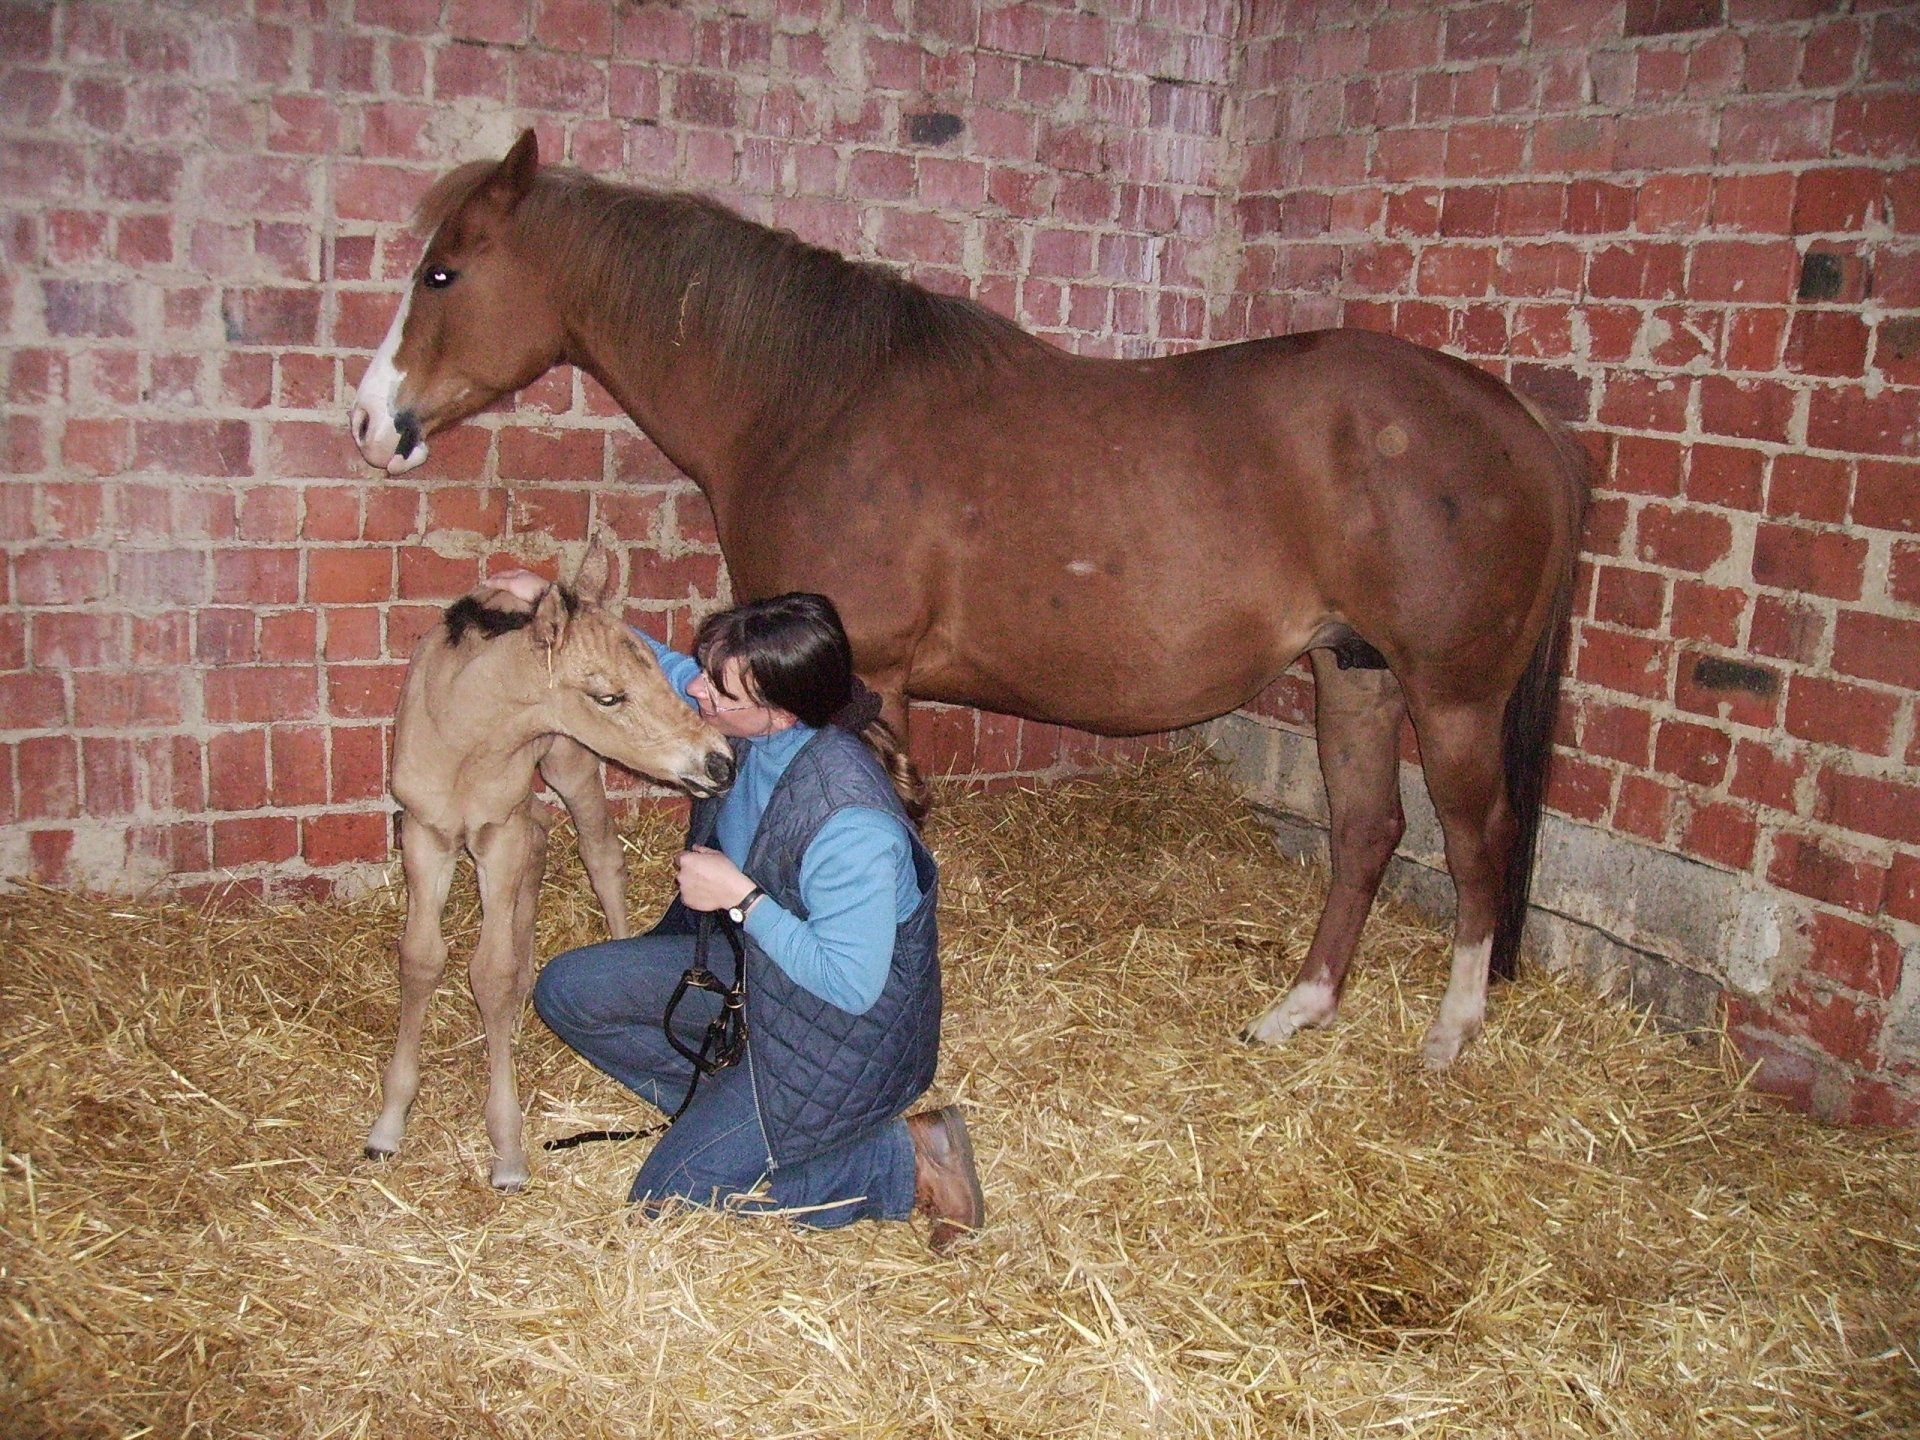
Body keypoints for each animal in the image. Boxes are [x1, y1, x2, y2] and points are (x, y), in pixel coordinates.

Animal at [349, 130, 1591, 1070]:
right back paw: (1301, 1008)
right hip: (1355, 676)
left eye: (443, 273)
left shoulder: (870, 677)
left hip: (1451, 699)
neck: (813, 399)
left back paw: (1452, 1031)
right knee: (1368, 831)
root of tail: (1521, 422)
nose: (371, 423)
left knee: (1475, 843)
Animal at [367, 541, 734, 1190]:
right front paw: (389, 1122)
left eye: (656, 669)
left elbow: (488, 973)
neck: (465, 736)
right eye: (607, 696)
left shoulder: (497, 833)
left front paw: (507, 1149)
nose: (719, 762)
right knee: (541, 842)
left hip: (571, 763)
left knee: (600, 853)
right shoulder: (425, 833)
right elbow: (420, 959)